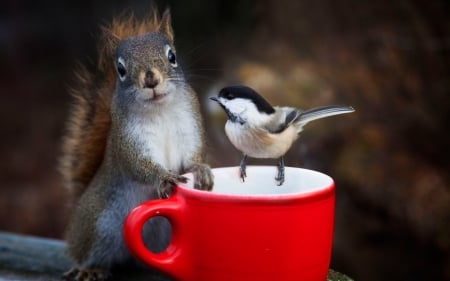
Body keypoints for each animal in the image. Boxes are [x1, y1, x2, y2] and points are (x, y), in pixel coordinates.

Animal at [59, 8, 214, 280]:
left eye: (172, 56)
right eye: (120, 69)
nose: (150, 79)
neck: (159, 109)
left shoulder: (190, 127)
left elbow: (193, 155)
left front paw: (200, 170)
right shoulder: (128, 140)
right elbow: (138, 165)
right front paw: (163, 177)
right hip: (97, 224)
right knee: (84, 251)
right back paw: (88, 269)